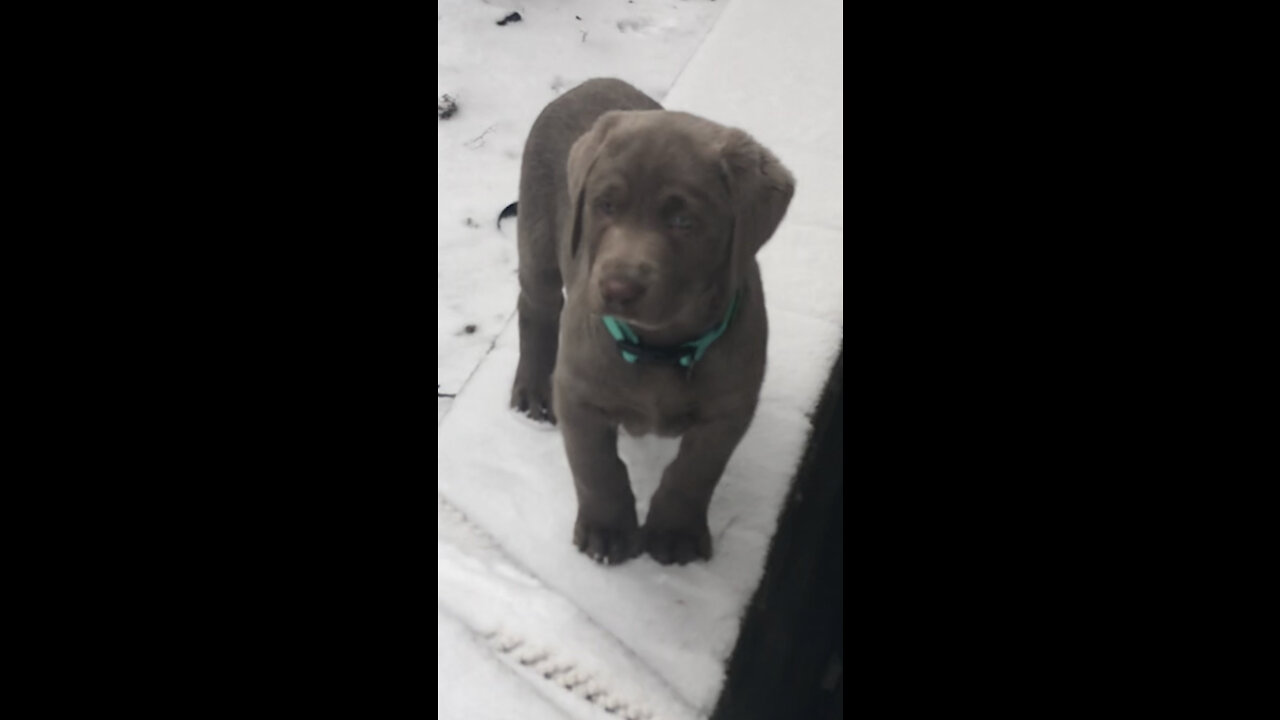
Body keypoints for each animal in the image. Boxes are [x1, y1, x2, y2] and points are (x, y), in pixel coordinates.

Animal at [506, 77, 788, 561]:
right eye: (605, 206)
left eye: (683, 220)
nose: (617, 288)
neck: (659, 347)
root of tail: (589, 82)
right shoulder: (578, 393)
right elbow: (597, 469)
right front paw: (607, 530)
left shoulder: (731, 407)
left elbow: (694, 471)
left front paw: (675, 533)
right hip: (538, 237)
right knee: (535, 307)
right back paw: (532, 387)